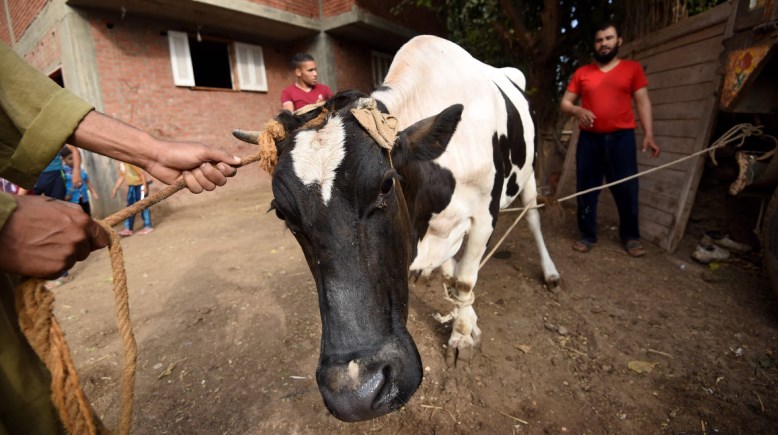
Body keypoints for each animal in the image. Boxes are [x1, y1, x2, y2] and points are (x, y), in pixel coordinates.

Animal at [233, 35, 556, 422]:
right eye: (282, 213)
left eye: (386, 184)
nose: (356, 394)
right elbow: (453, 274)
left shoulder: (484, 211)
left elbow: (466, 279)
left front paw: (463, 333)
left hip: (530, 172)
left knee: (534, 215)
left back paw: (549, 271)